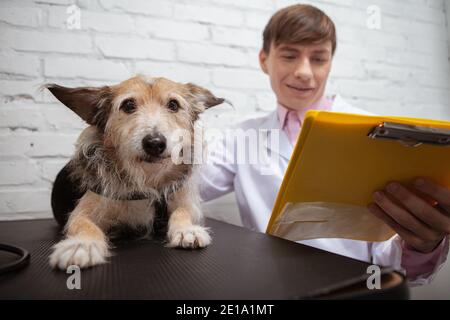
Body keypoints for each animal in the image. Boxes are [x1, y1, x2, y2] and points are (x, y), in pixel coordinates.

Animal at [45, 75, 225, 270]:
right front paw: (82, 245)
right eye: (128, 105)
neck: (146, 179)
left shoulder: (184, 200)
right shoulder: (84, 209)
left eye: (173, 104)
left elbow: (182, 212)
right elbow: (83, 224)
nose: (154, 143)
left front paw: (187, 230)